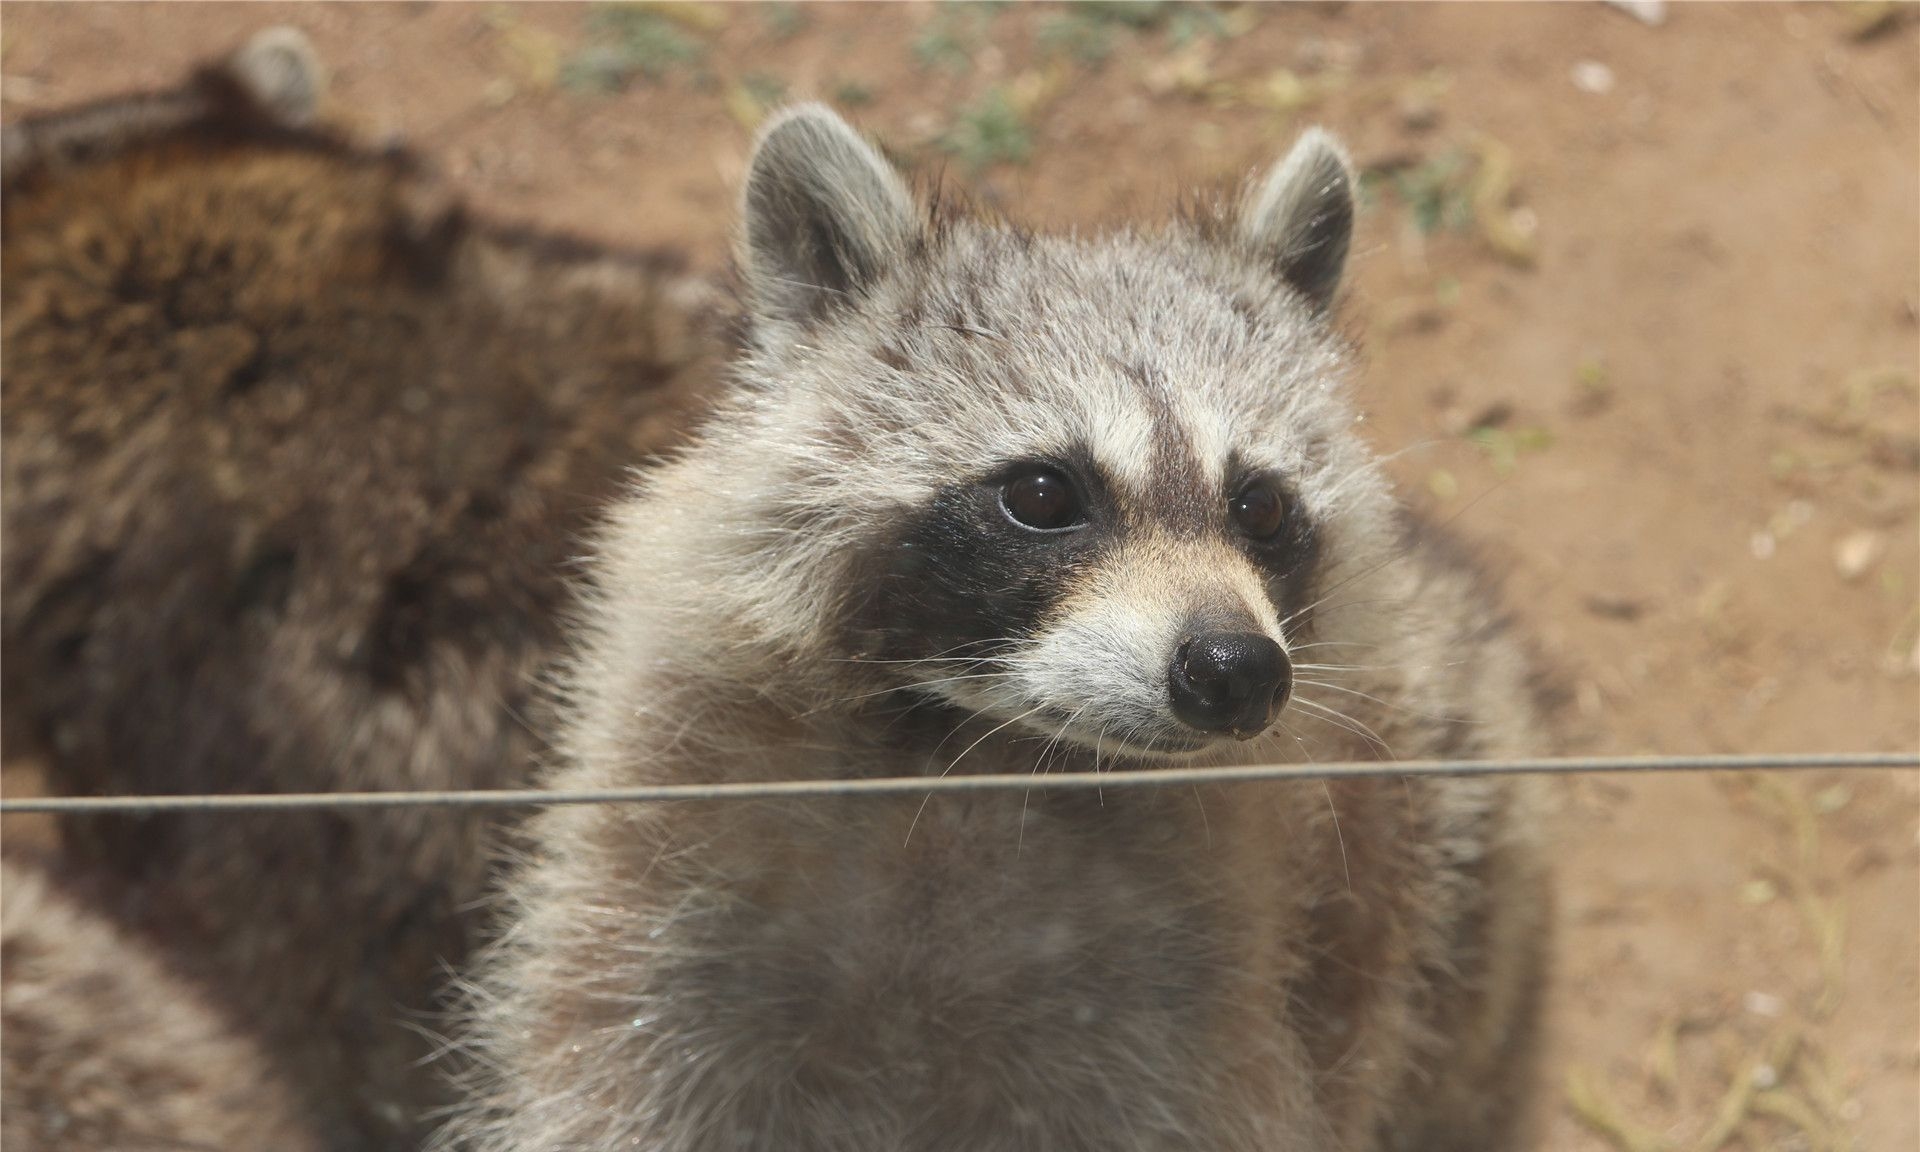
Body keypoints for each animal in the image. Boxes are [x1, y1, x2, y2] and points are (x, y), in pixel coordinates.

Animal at [441, 103, 1551, 1144]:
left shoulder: (1186, 1015)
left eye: (1262, 507)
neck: (978, 757)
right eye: (1044, 494)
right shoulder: (658, 932)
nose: (1235, 669)